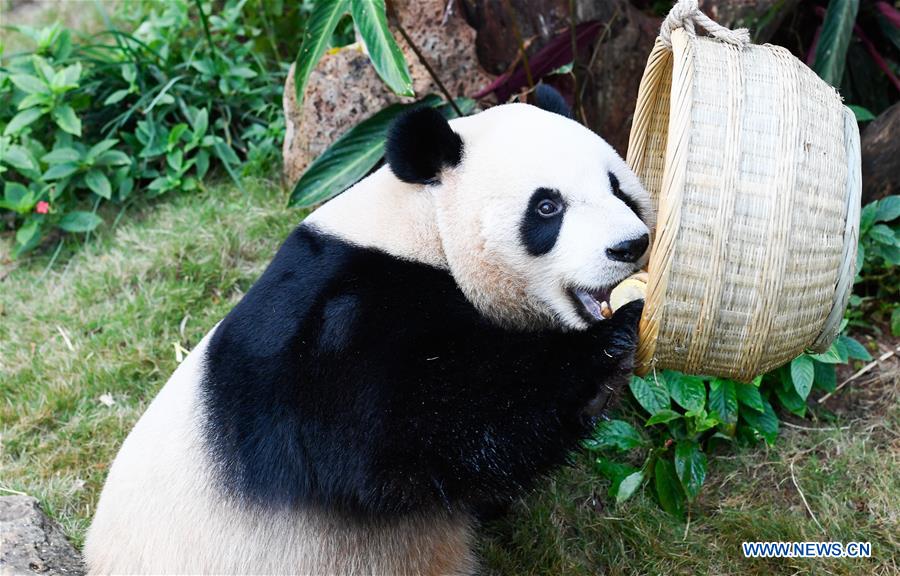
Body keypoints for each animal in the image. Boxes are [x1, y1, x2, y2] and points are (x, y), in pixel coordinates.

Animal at [84, 86, 653, 575]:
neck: (423, 228)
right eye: (547, 207)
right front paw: (609, 345)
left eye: (617, 187)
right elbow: (398, 439)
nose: (630, 245)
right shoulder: (332, 331)